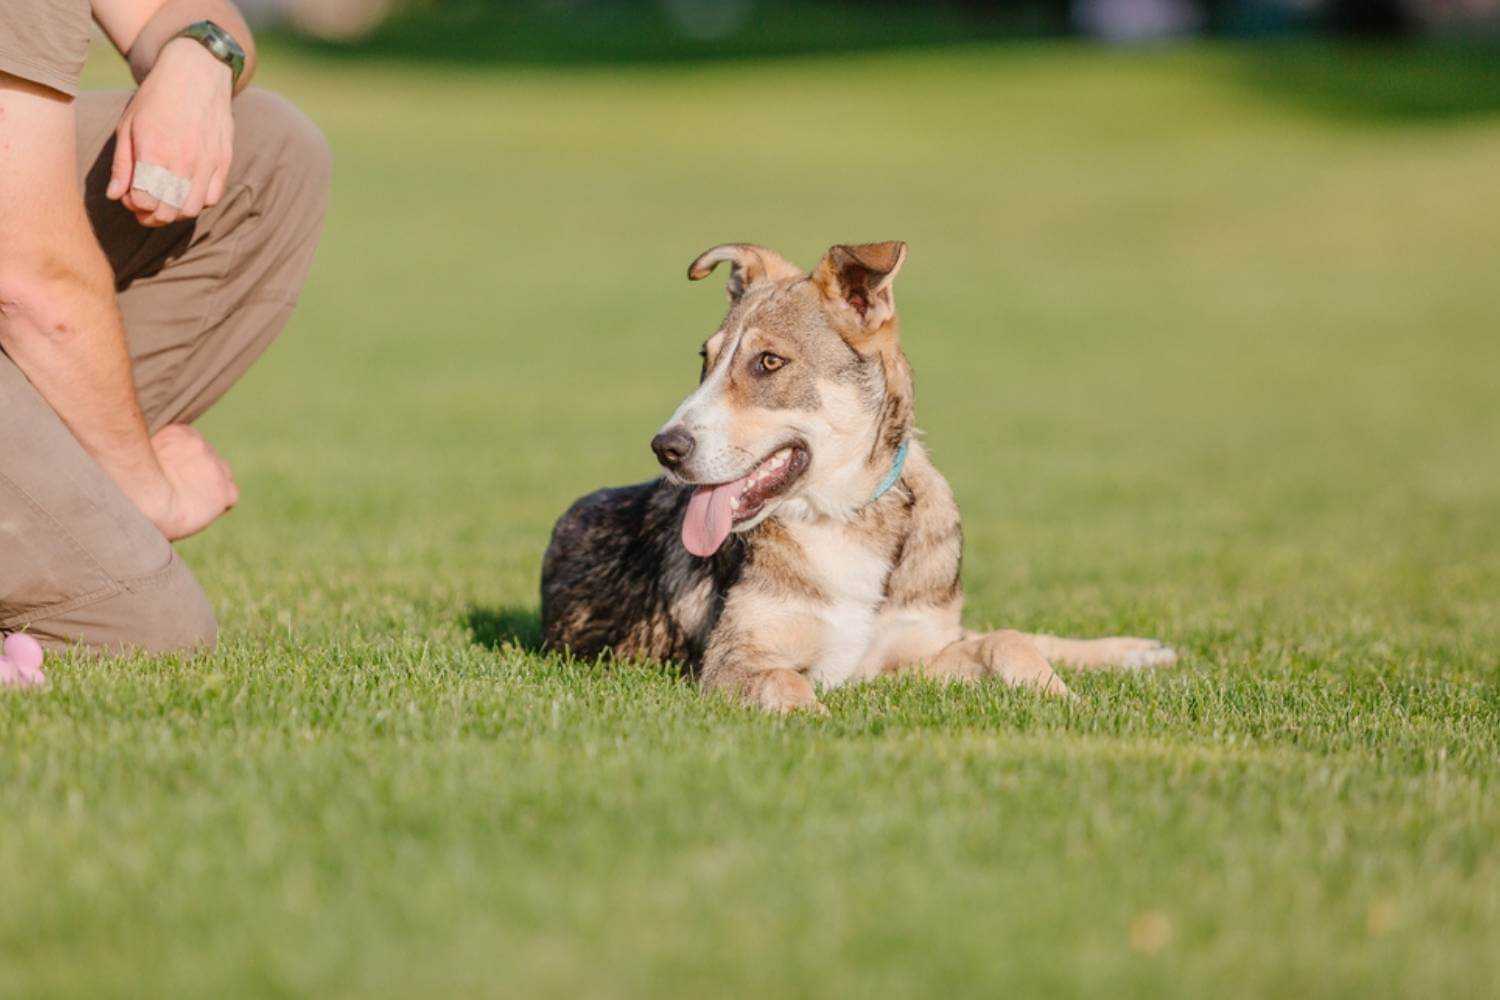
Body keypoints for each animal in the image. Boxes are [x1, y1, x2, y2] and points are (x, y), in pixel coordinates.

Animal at [546, 241, 1176, 710]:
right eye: (706, 360)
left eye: (768, 362)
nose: (666, 448)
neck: (844, 517)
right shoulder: (738, 660)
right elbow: (787, 685)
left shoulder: (911, 654)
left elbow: (1008, 642)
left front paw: (1063, 696)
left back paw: (1140, 651)